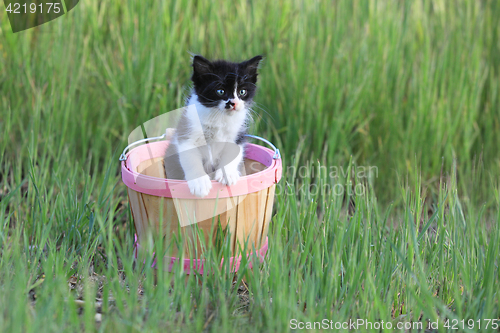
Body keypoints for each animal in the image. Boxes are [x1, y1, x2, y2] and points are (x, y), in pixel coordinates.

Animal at [165, 55, 266, 197]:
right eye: (220, 91)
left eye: (242, 92)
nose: (233, 103)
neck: (220, 118)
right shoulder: (187, 134)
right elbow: (190, 159)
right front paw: (200, 183)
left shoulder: (237, 136)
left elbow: (233, 153)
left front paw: (227, 175)